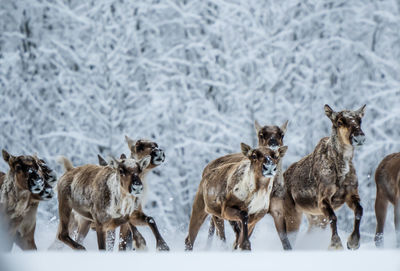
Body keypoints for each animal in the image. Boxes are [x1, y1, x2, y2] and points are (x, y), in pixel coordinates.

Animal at [206, 121, 290, 251]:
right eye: (261, 134)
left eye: (282, 134)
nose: (273, 143)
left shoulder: (277, 211)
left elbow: (286, 243)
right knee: (219, 233)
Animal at [282, 104, 368, 251]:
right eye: (339, 121)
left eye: (360, 120)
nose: (359, 138)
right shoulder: (323, 198)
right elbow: (334, 217)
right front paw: (336, 244)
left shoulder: (351, 194)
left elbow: (359, 211)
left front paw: (353, 242)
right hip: (292, 213)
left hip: (314, 217)